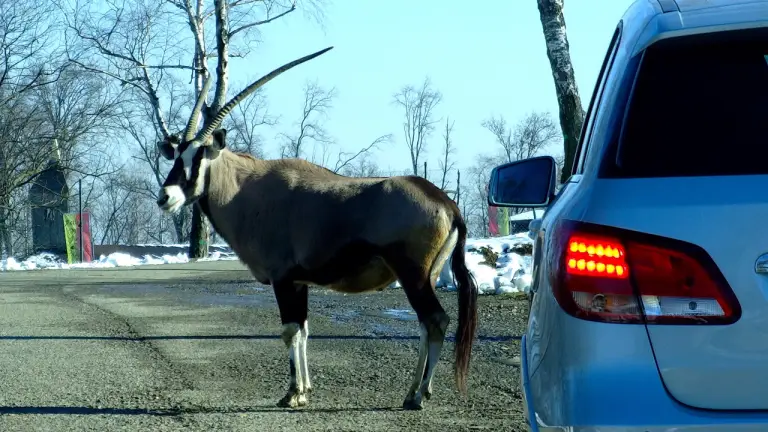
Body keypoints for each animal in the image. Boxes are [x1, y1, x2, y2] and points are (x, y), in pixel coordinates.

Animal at [155, 47, 476, 412]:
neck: (246, 190)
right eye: (176, 156)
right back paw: (412, 392)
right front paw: (305, 390)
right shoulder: (299, 282)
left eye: (198, 159)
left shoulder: (283, 279)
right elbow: (304, 332)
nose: (165, 197)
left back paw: (419, 396)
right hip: (427, 276)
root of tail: (446, 202)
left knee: (436, 320)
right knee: (426, 325)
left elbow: (290, 331)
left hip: (413, 273)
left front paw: (292, 393)